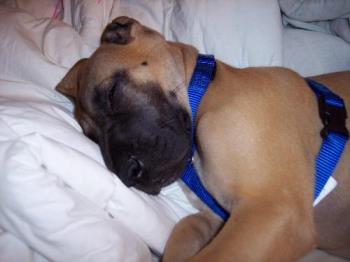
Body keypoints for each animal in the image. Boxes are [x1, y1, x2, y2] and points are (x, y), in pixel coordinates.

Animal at [56, 16, 348, 262]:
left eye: (112, 93)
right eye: (91, 135)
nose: (128, 175)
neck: (206, 90)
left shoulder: (274, 210)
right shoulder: (217, 218)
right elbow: (184, 229)